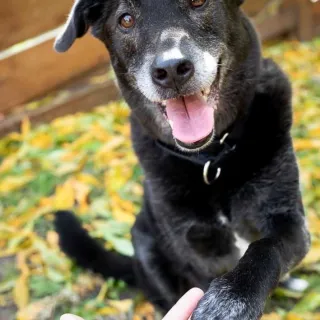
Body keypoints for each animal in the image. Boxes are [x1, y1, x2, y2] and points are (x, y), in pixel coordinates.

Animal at [54, 0, 310, 318]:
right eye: (125, 20)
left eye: (199, 2)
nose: (171, 69)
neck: (210, 159)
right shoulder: (196, 254)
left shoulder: (289, 220)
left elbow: (266, 248)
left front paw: (233, 298)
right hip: (145, 245)